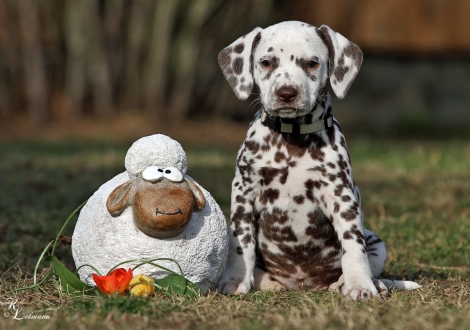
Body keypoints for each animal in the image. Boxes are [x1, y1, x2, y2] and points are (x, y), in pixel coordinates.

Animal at [215, 20, 420, 300]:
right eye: (266, 62)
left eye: (311, 63)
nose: (286, 93)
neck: (292, 139)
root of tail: (305, 283)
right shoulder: (244, 192)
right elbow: (241, 241)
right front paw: (235, 280)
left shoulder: (340, 196)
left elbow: (353, 245)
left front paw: (359, 285)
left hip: (377, 243)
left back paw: (362, 284)